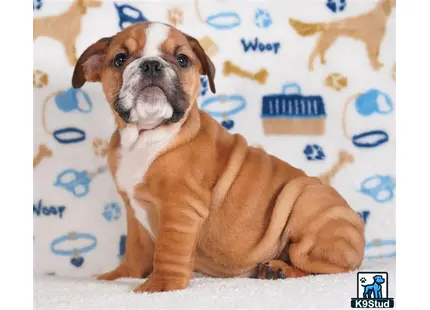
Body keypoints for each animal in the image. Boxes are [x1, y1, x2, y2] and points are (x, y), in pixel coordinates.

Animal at [72, 21, 364, 294]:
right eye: (120, 59)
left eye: (182, 60)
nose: (152, 65)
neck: (145, 136)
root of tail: (358, 229)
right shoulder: (134, 211)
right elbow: (135, 248)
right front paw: (120, 275)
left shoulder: (180, 207)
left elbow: (168, 250)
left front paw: (161, 285)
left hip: (307, 204)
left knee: (326, 266)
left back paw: (281, 269)